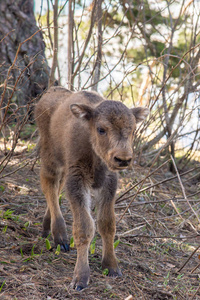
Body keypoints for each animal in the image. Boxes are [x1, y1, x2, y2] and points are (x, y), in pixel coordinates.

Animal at [35, 86, 149, 290]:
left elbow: (107, 224)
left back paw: (47, 227)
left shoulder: (109, 184)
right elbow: (85, 227)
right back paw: (61, 238)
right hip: (51, 159)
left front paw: (112, 267)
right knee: (49, 186)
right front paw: (80, 278)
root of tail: (50, 92)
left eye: (132, 130)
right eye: (101, 129)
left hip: (62, 167)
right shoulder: (77, 181)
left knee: (55, 190)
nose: (123, 159)